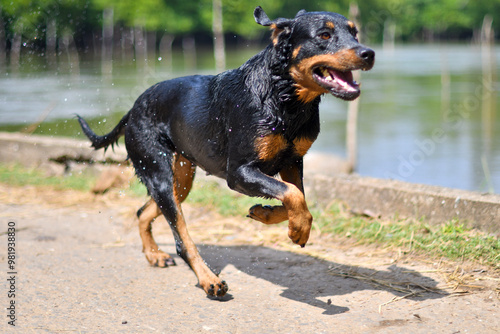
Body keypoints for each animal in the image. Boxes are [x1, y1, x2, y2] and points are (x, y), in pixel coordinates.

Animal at [78, 6, 374, 296]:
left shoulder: (292, 161)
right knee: (181, 239)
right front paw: (298, 230)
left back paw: (154, 254)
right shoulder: (240, 173)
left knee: (143, 212)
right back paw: (209, 280)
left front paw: (266, 214)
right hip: (159, 173)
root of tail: (133, 109)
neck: (282, 98)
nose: (368, 53)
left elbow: (297, 197)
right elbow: (293, 195)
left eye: (355, 33)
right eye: (324, 35)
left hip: (180, 179)